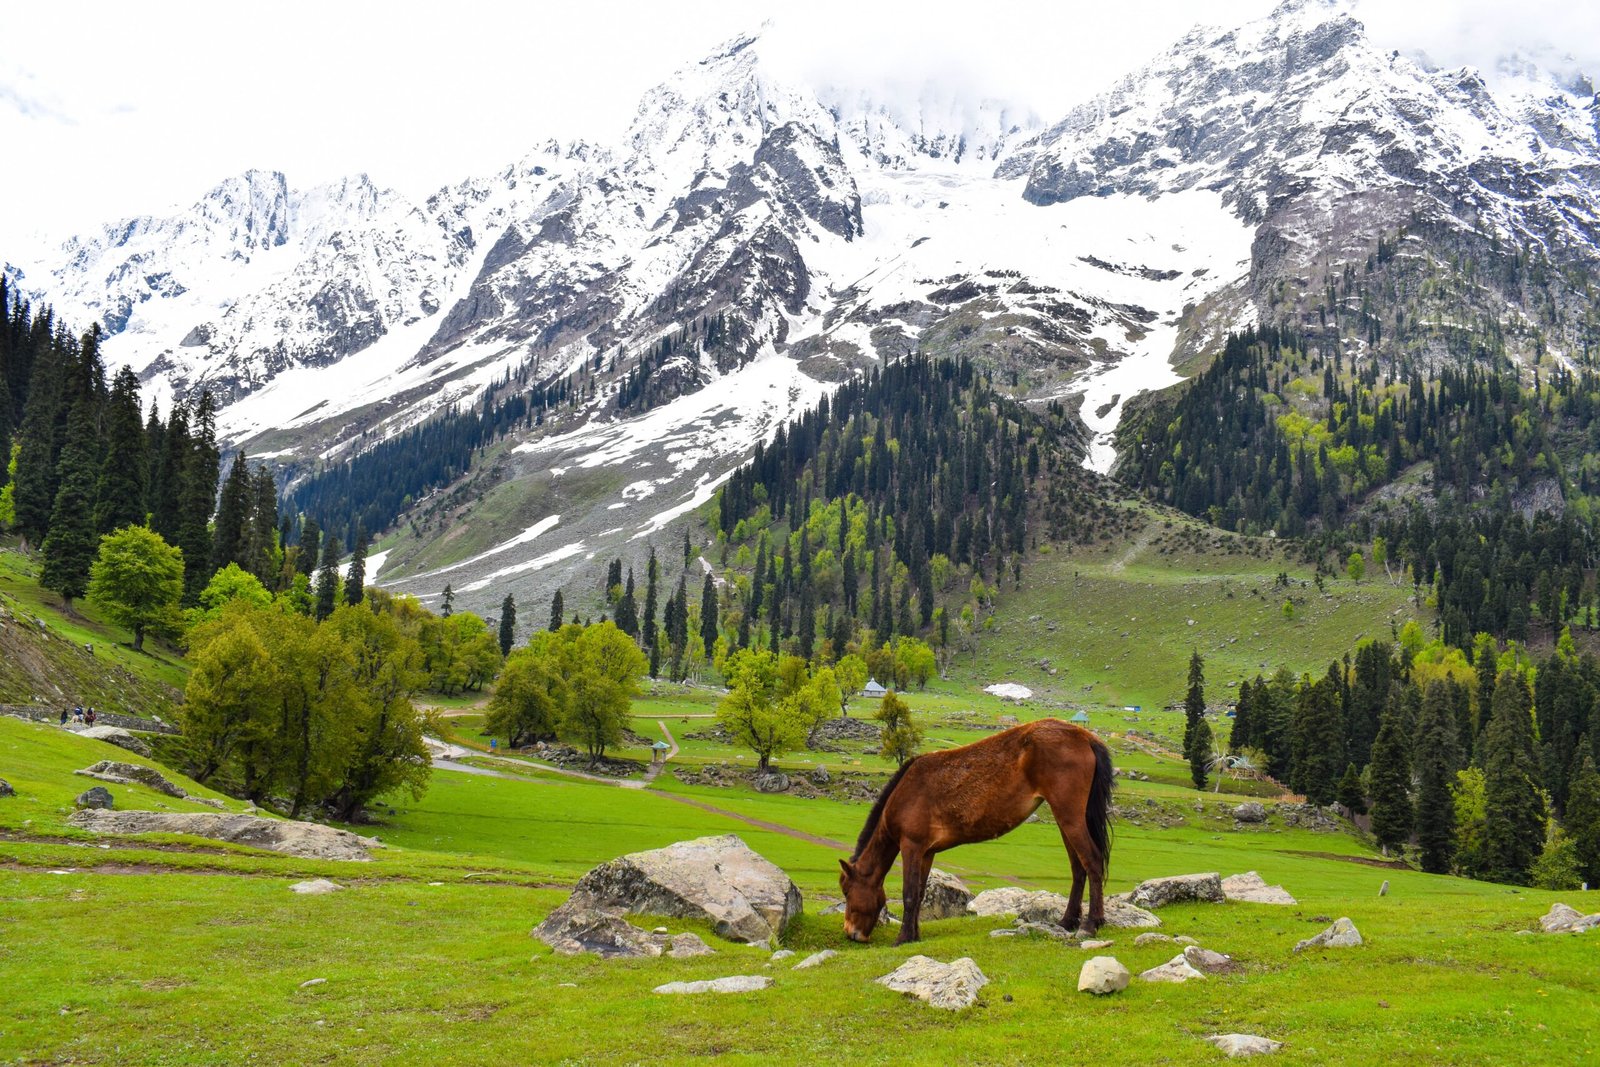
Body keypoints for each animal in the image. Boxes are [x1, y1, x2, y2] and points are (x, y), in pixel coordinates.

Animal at [838, 718, 1113, 944]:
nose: (851, 933)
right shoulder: (927, 853)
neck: (905, 793)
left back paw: (1091, 924)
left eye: (847, 891)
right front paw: (914, 935)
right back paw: (1067, 921)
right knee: (1078, 868)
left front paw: (903, 938)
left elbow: (909, 893)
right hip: (1065, 820)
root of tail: (1085, 737)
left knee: (1092, 860)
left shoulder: (911, 846)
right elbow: (919, 893)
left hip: (1069, 816)